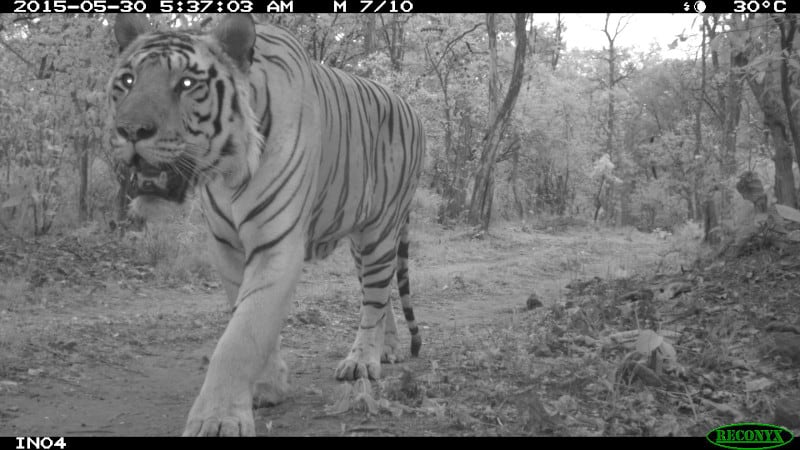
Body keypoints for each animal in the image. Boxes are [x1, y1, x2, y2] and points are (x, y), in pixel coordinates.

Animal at [109, 14, 428, 436]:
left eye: (188, 84)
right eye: (128, 80)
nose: (131, 130)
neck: (226, 172)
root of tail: (410, 107)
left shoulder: (276, 244)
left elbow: (242, 334)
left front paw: (219, 418)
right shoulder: (227, 247)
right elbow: (250, 318)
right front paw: (267, 386)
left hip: (380, 231)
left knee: (375, 297)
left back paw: (362, 361)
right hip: (363, 242)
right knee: (382, 292)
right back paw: (388, 349)